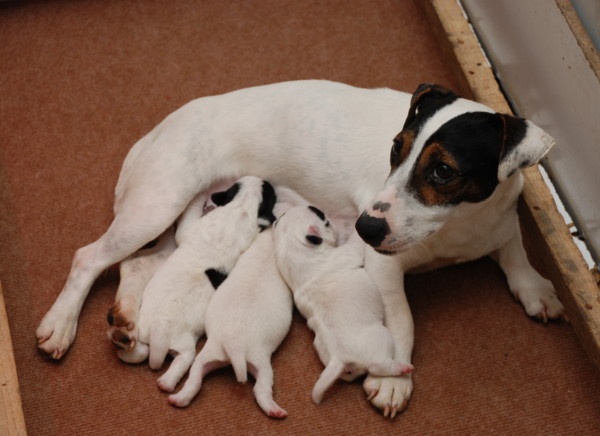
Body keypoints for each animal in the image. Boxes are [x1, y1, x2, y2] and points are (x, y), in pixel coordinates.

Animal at [166, 227, 292, 418]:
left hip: (208, 355)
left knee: (194, 378)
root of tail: (234, 342)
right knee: (262, 389)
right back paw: (276, 411)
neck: (268, 248)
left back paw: (178, 399)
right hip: (262, 361)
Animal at [274, 206, 414, 404]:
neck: (294, 254)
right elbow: (355, 242)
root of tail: (339, 358)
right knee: (378, 365)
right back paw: (403, 368)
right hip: (382, 337)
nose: (312, 206)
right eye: (324, 220)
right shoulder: (347, 252)